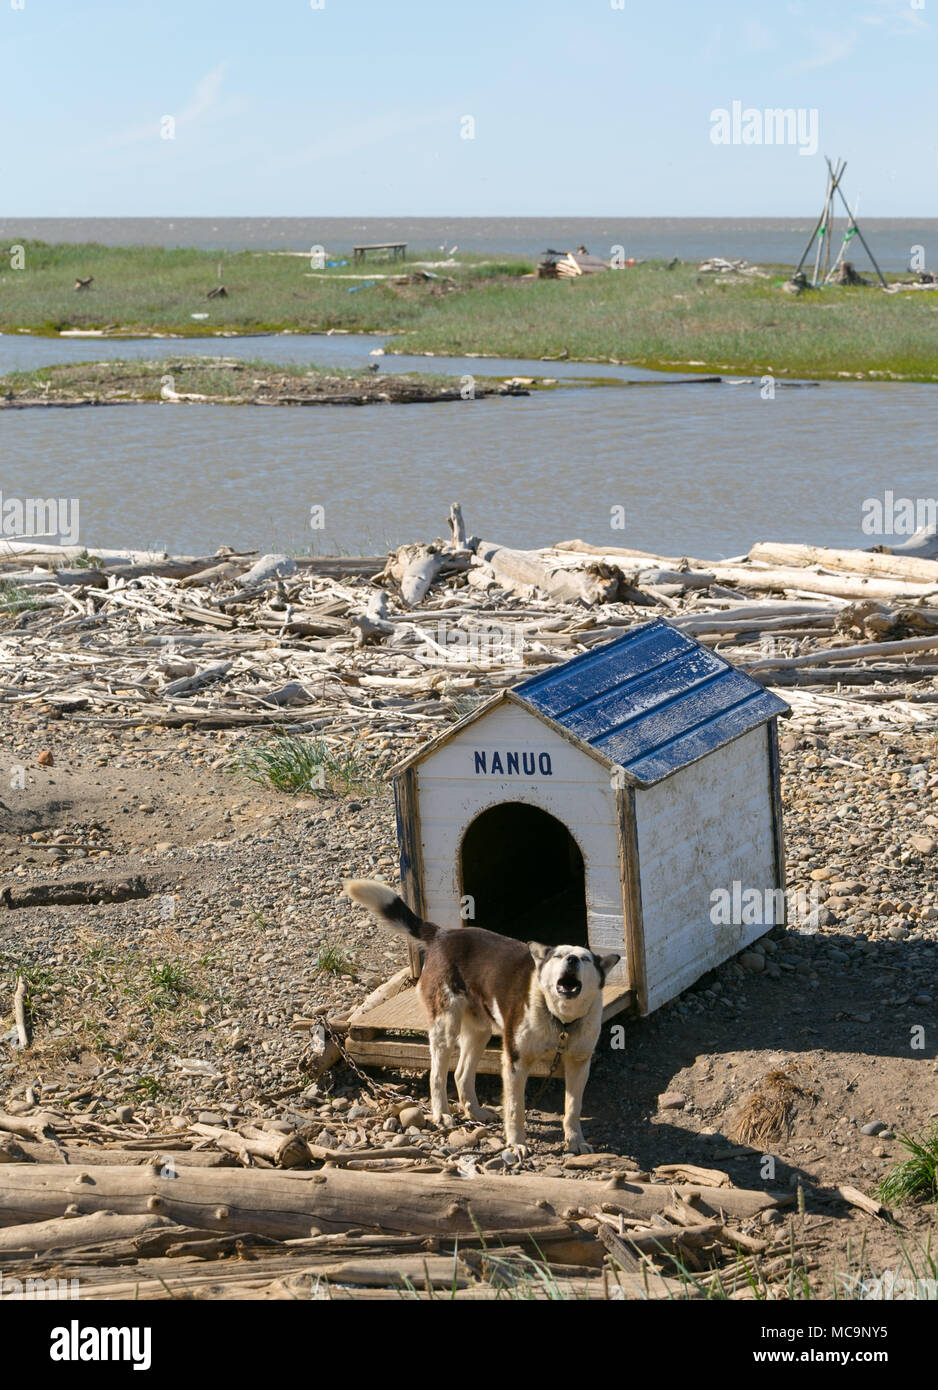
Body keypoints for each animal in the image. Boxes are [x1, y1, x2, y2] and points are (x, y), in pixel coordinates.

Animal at [343, 884, 616, 1156]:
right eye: (558, 956)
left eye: (585, 958)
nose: (571, 960)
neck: (561, 1020)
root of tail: (443, 934)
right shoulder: (515, 1063)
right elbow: (515, 1110)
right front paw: (517, 1143)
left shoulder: (579, 1064)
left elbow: (573, 1108)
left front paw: (576, 1141)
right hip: (446, 1027)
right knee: (438, 1075)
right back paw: (441, 1114)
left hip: (479, 1032)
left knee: (461, 1074)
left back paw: (474, 1112)